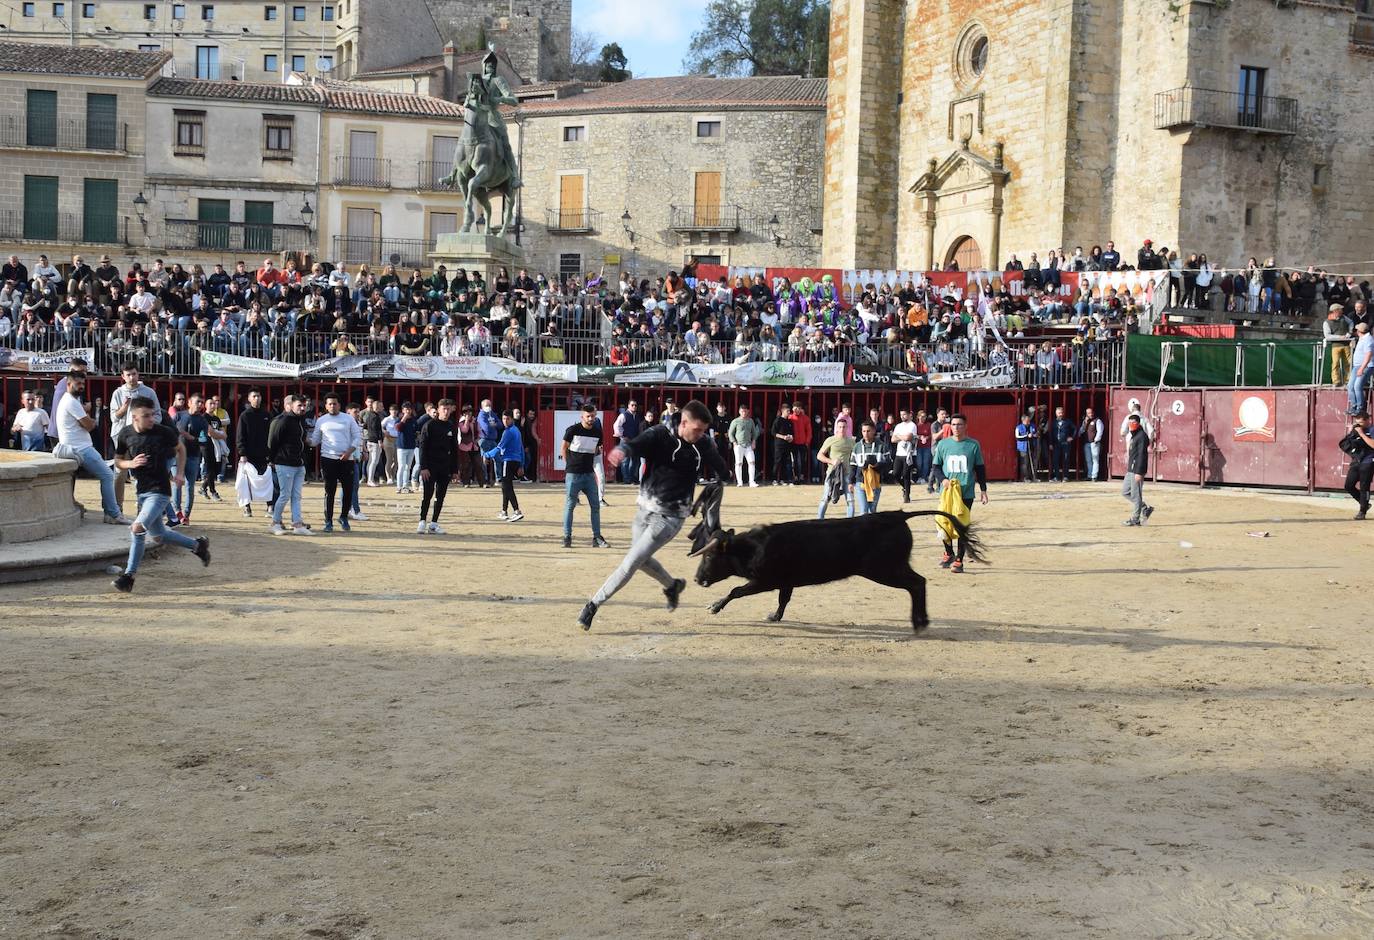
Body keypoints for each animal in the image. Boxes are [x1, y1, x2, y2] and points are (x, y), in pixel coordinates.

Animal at [687, 483, 989, 632]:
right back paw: (921, 621)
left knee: (917, 583)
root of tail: (897, 515)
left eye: (710, 557)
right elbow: (784, 599)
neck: (753, 546)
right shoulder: (786, 581)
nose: (697, 579)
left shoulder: (764, 580)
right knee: (918, 583)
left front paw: (714, 606)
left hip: (884, 569)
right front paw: (774, 616)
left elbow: (736, 590)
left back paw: (919, 622)